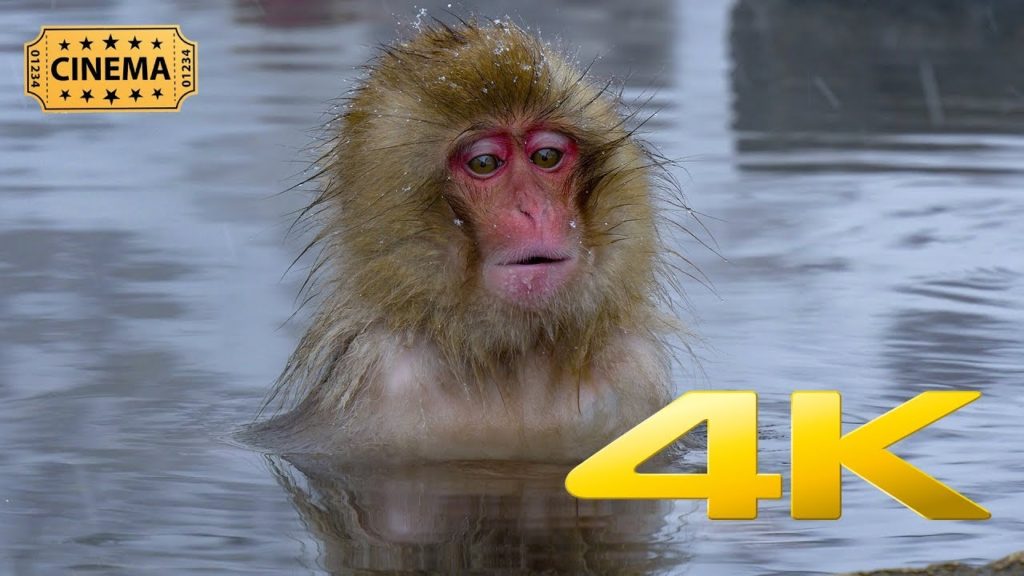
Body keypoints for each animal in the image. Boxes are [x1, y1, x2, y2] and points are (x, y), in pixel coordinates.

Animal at [249, 17, 695, 462]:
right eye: (484, 163)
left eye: (546, 156)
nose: (533, 209)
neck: (514, 360)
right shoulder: (384, 382)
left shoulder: (635, 375)